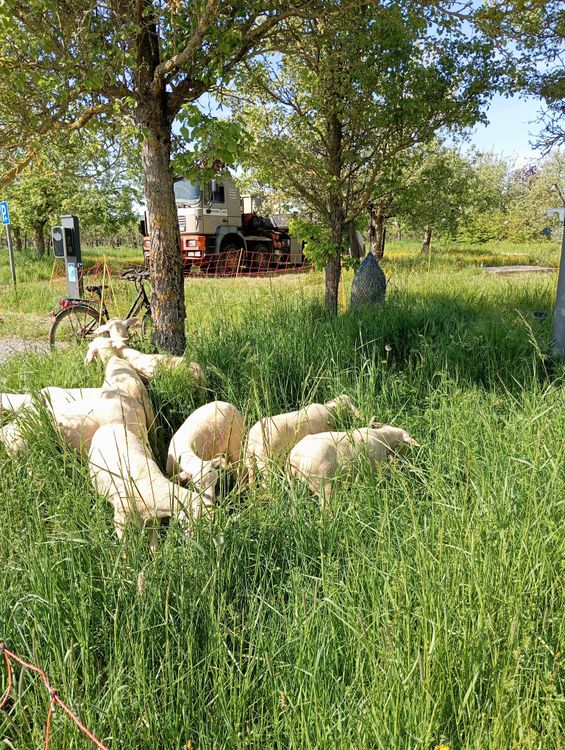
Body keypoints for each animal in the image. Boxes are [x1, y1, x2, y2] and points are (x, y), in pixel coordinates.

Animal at [89, 423, 215, 551]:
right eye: (199, 519)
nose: (206, 544)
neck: (150, 487)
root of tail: (110, 425)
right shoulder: (120, 521)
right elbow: (125, 550)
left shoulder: (154, 519)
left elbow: (154, 547)